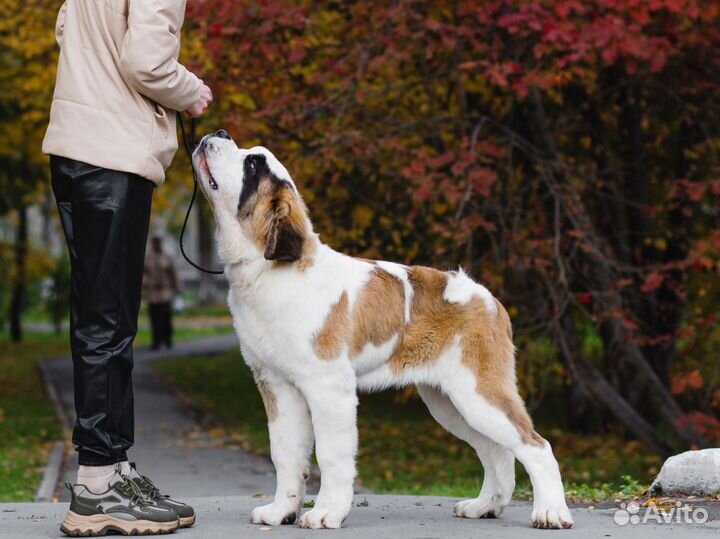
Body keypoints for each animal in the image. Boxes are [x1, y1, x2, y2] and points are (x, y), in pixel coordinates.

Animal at [191, 129, 572, 528]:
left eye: (252, 165)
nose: (218, 133)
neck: (271, 270)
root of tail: (488, 298)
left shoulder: (329, 389)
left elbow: (332, 456)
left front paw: (326, 512)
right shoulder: (277, 386)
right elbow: (285, 453)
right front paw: (282, 510)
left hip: (479, 393)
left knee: (535, 445)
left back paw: (550, 512)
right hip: (452, 403)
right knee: (496, 450)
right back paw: (485, 505)